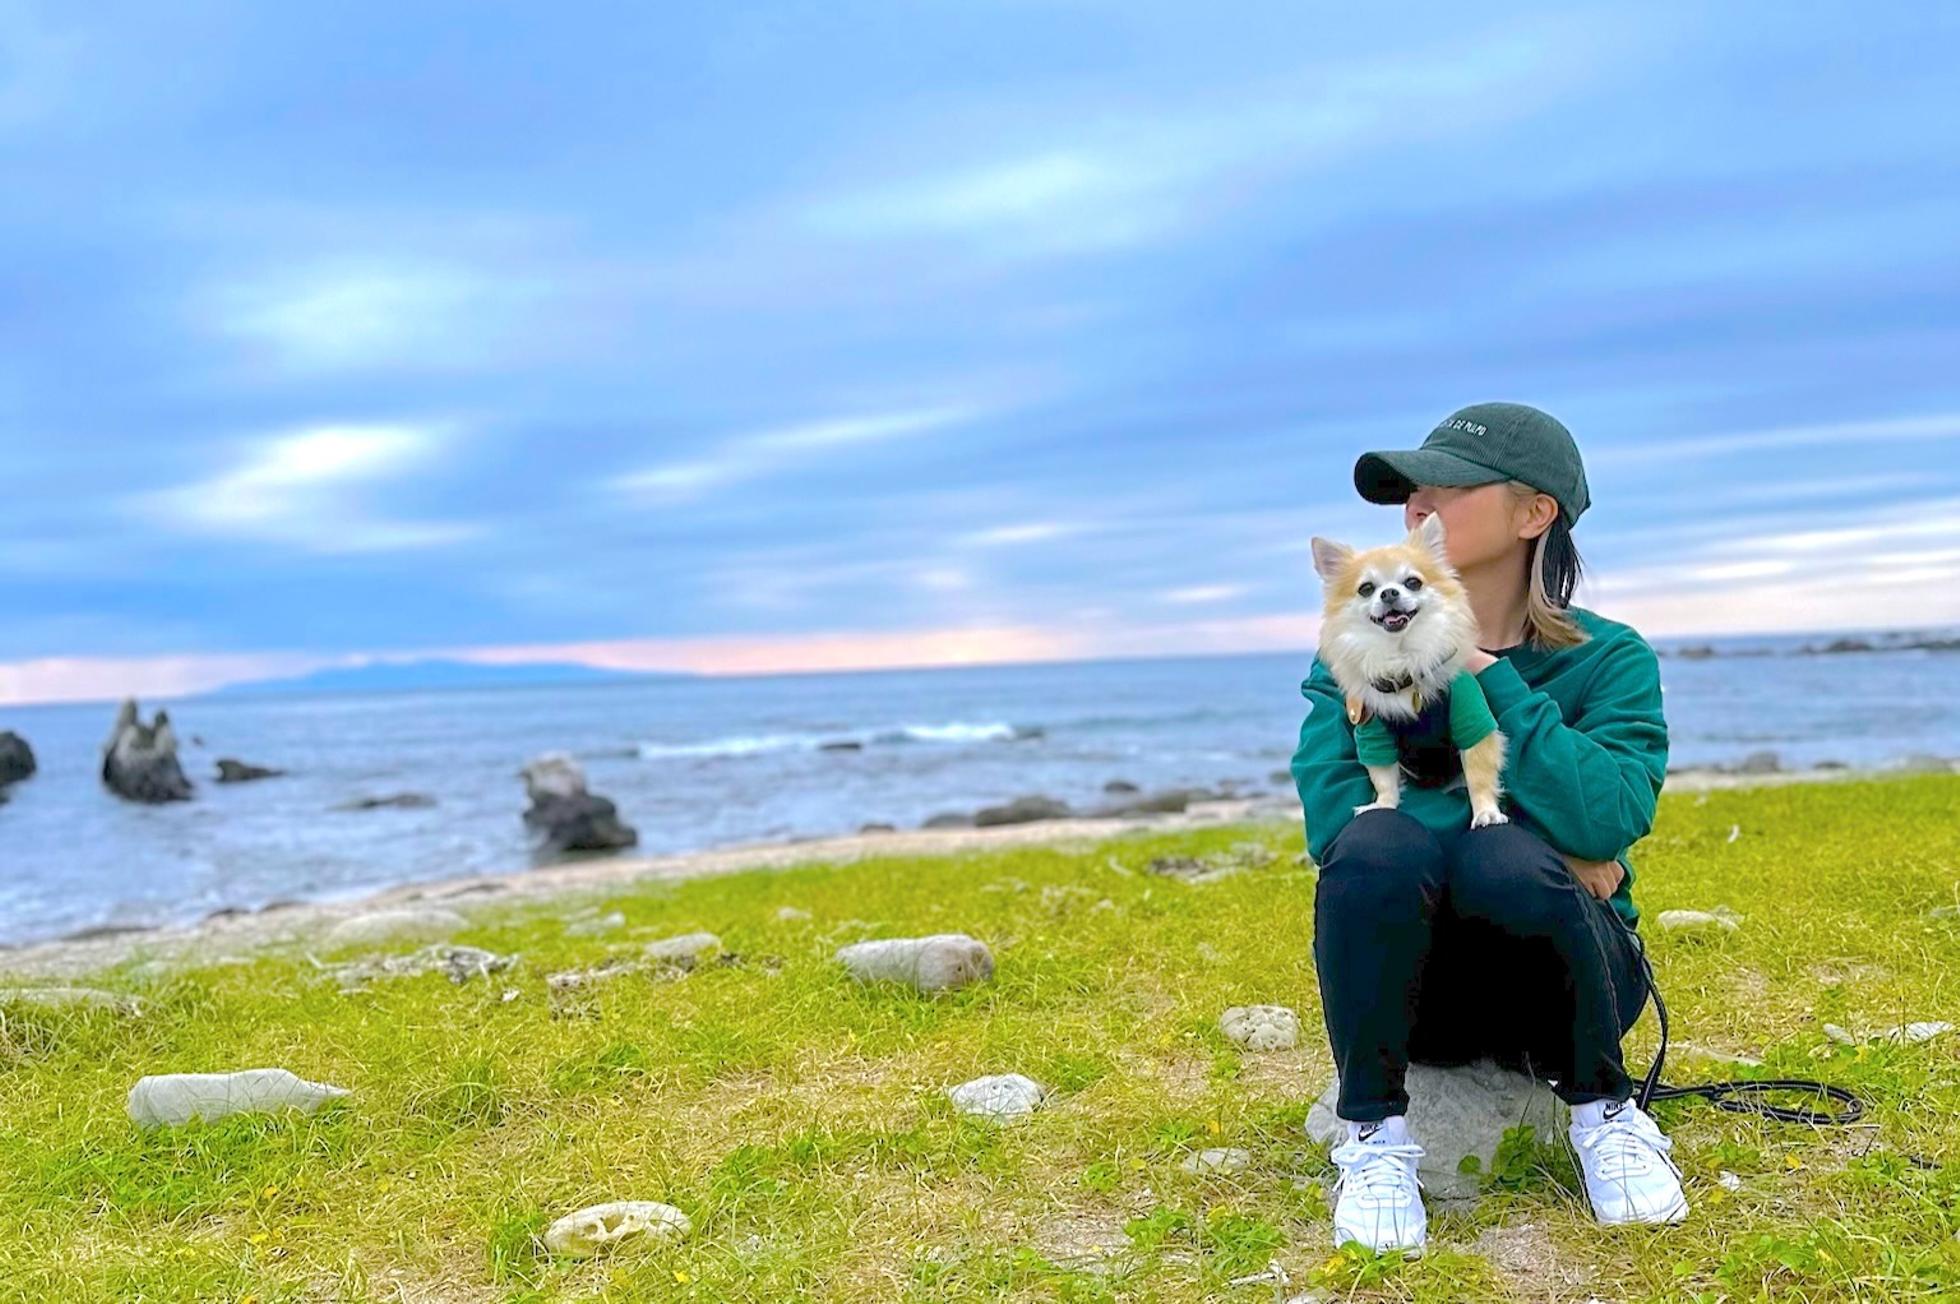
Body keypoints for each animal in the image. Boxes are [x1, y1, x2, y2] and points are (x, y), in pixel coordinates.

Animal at [1309, 513, 1509, 827]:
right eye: (1366, 589)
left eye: (1413, 583)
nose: (1389, 592)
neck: (1401, 659)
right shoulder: (1372, 730)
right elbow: (1383, 778)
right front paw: (1382, 804)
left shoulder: (1472, 718)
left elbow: (1479, 774)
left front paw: (1486, 811)